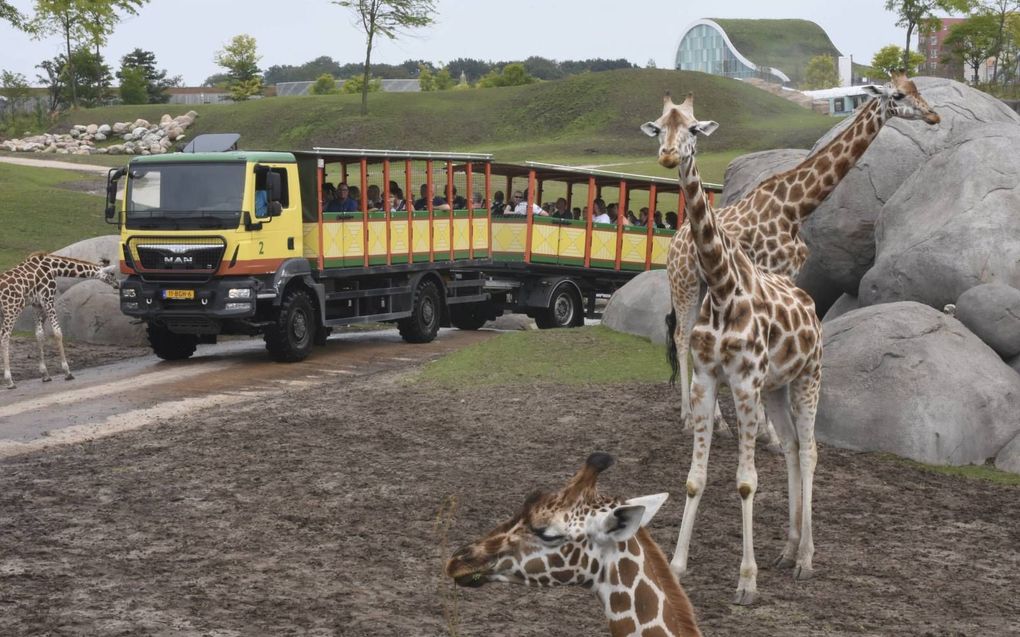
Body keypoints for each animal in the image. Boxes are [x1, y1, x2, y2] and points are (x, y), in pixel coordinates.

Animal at [1, 251, 119, 387]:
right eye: (112, 274)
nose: (118, 285)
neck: (54, 268)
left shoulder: (37, 304)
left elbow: (39, 334)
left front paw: (45, 375)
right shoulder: (48, 299)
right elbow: (57, 332)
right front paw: (67, 372)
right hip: (12, 309)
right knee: (4, 336)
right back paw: (10, 381)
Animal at [640, 91, 824, 603]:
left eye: (694, 129)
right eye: (659, 125)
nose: (669, 155)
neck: (722, 290)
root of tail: (810, 305)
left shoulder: (743, 384)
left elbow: (745, 482)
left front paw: (746, 581)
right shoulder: (708, 380)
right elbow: (693, 479)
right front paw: (677, 565)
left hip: (809, 377)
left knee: (810, 449)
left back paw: (806, 560)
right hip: (778, 387)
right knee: (793, 446)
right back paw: (788, 550)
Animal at [665, 69, 942, 436]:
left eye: (916, 88)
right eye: (897, 95)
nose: (933, 116)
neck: (796, 206)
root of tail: (674, 241)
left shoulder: (787, 275)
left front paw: (767, 426)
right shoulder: (771, 271)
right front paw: (768, 430)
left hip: (702, 285)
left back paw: (718, 421)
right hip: (683, 282)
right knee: (682, 337)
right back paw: (686, 415)